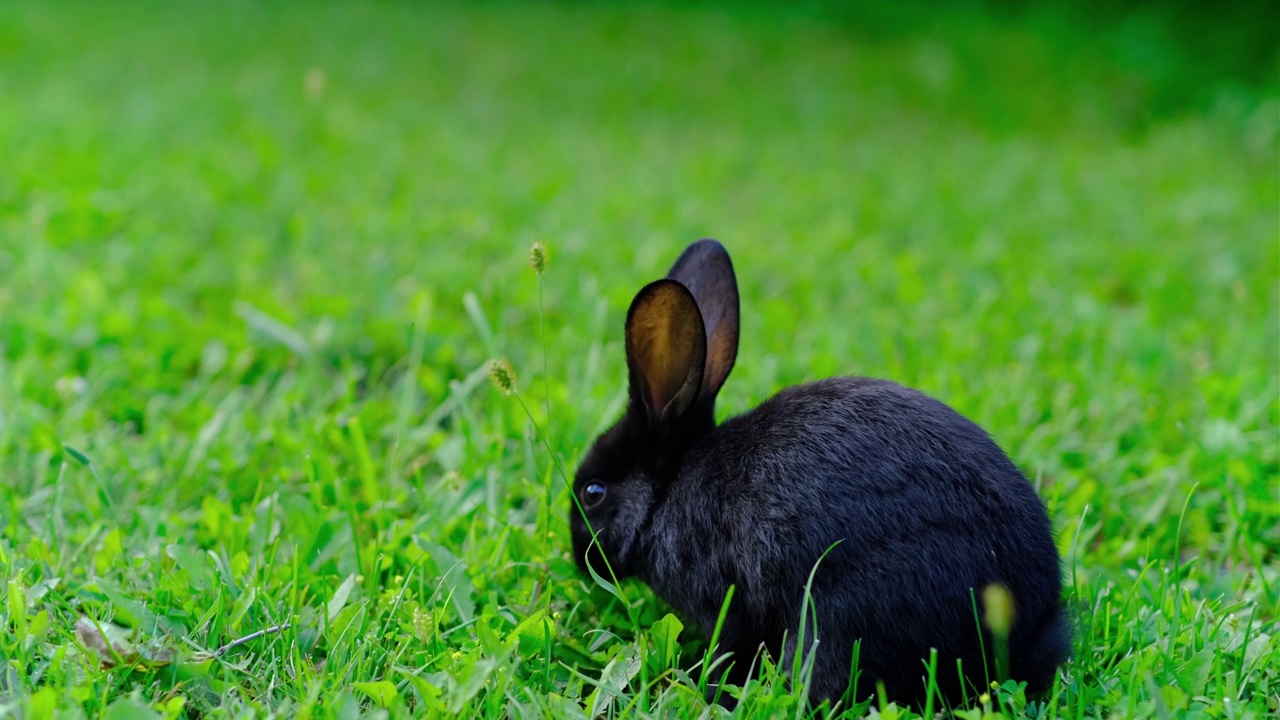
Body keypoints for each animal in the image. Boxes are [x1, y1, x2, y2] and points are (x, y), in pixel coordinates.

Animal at [570, 238, 1070, 702]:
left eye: (594, 493)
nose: (579, 559)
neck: (665, 492)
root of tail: (1020, 634)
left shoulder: (722, 598)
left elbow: (727, 645)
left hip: (836, 619)